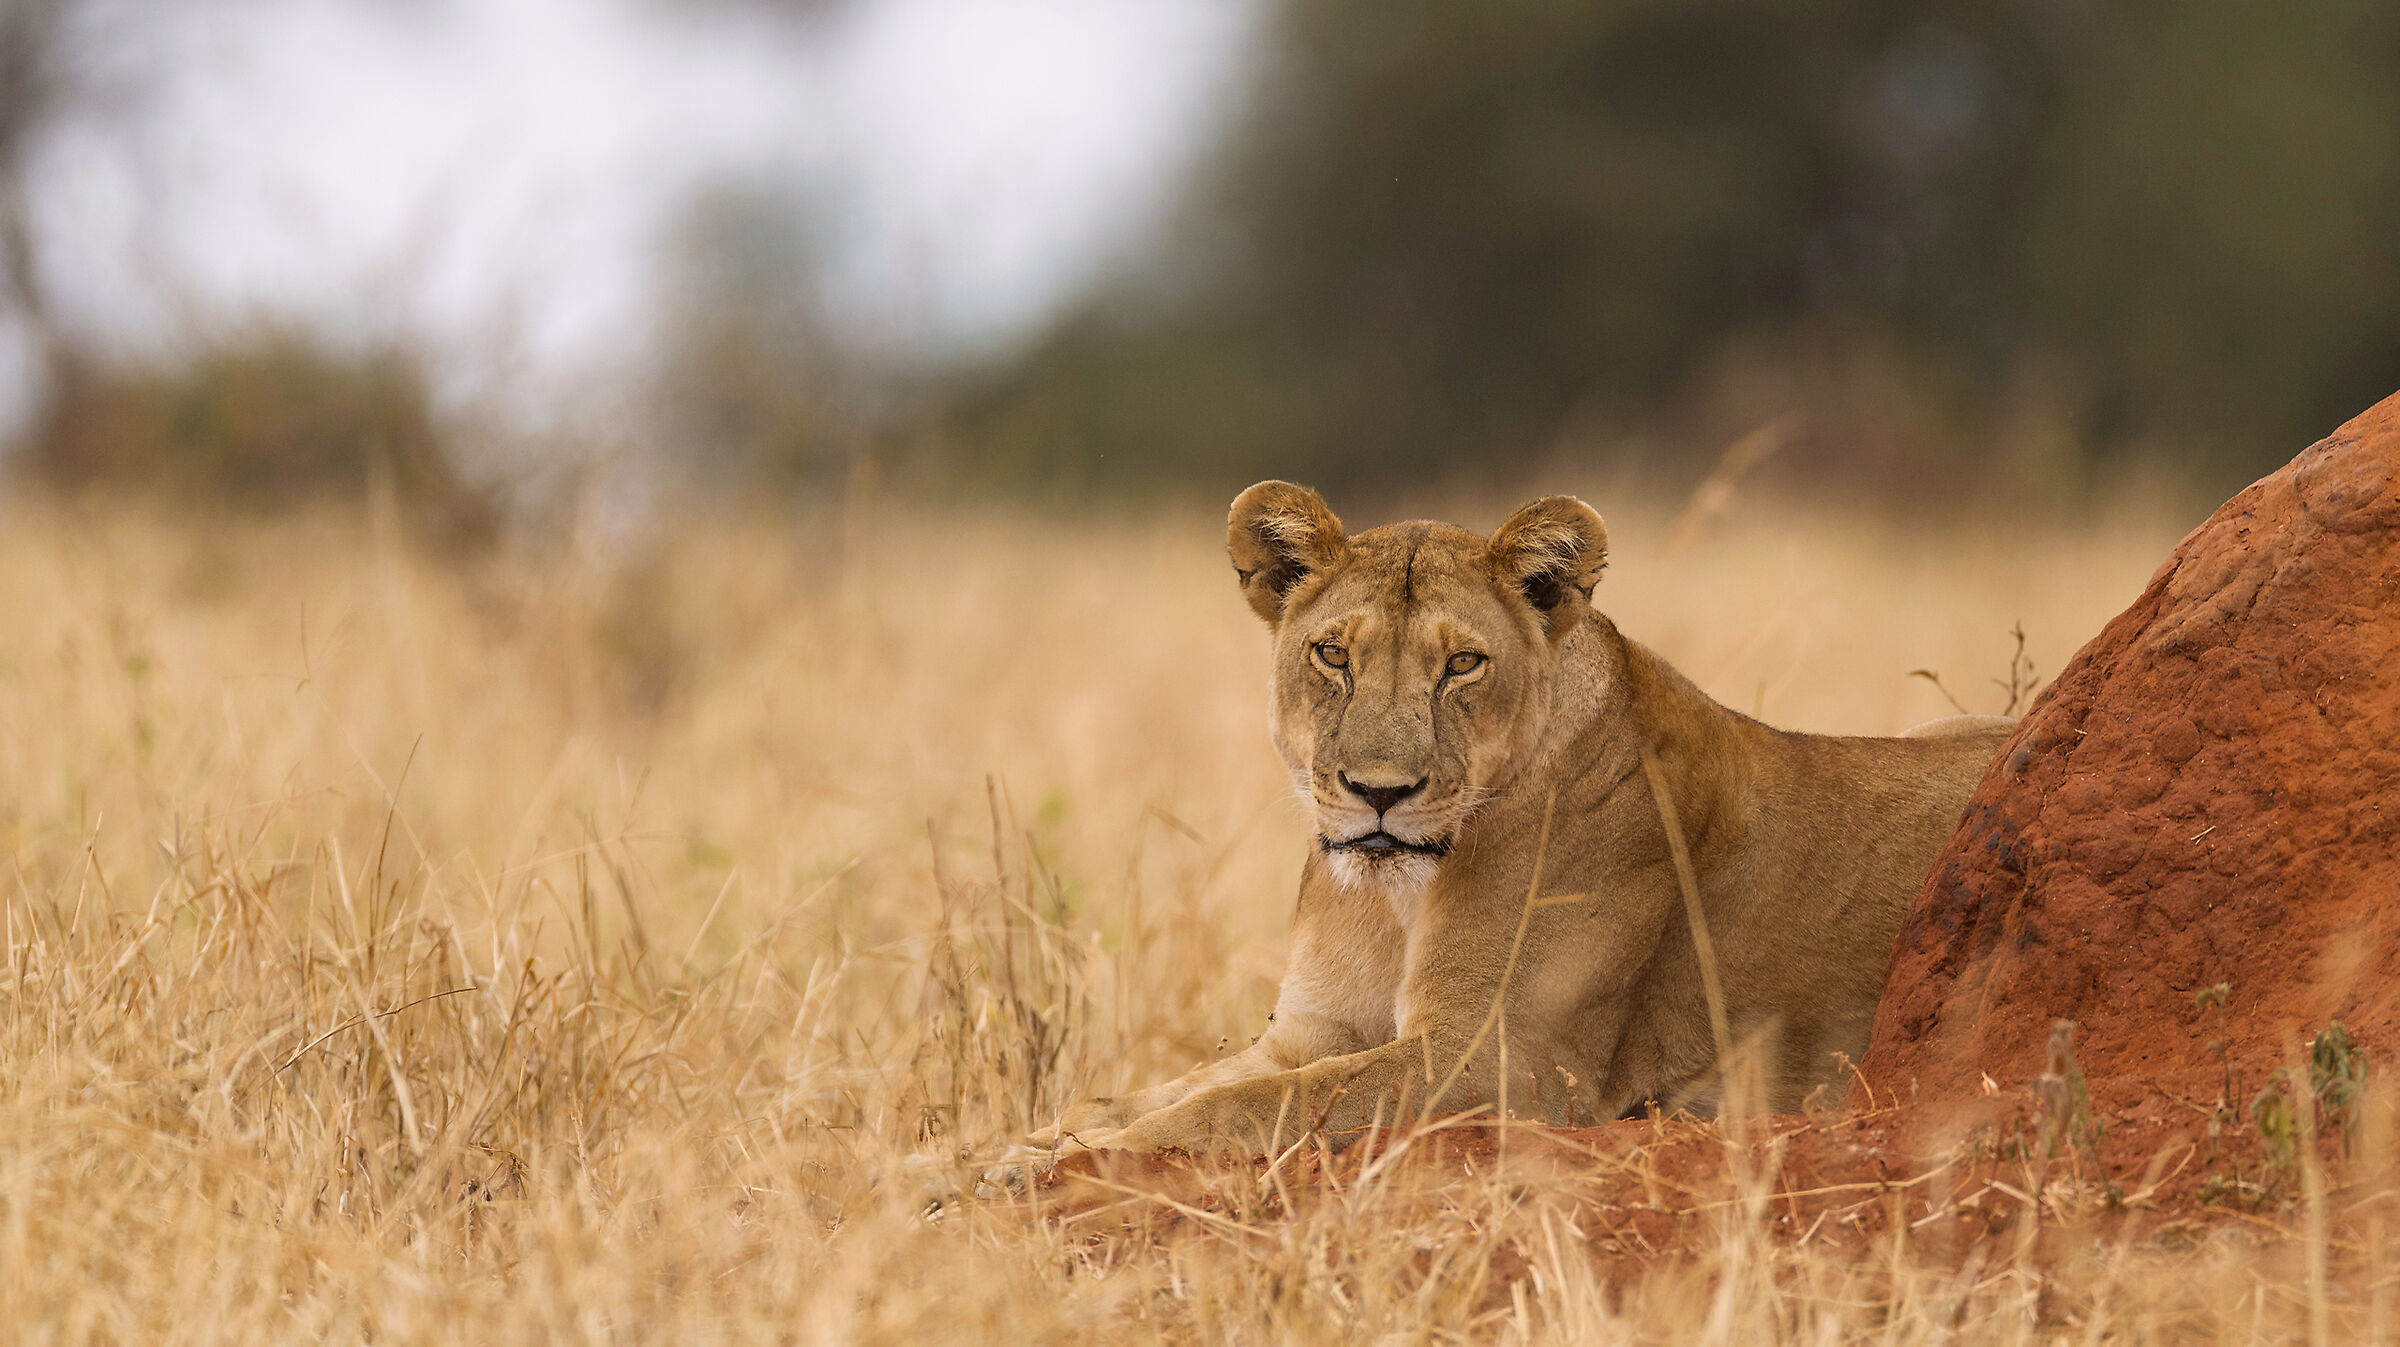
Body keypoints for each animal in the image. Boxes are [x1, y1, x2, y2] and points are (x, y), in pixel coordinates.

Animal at [1041, 483, 2012, 1156]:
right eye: (1333, 654)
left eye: (1462, 664)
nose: (1379, 791)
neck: (1393, 896)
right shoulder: (1307, 1033)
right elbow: (1159, 1092)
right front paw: (1024, 1148)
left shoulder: (1504, 1061)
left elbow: (1245, 1105)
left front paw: (1073, 1165)